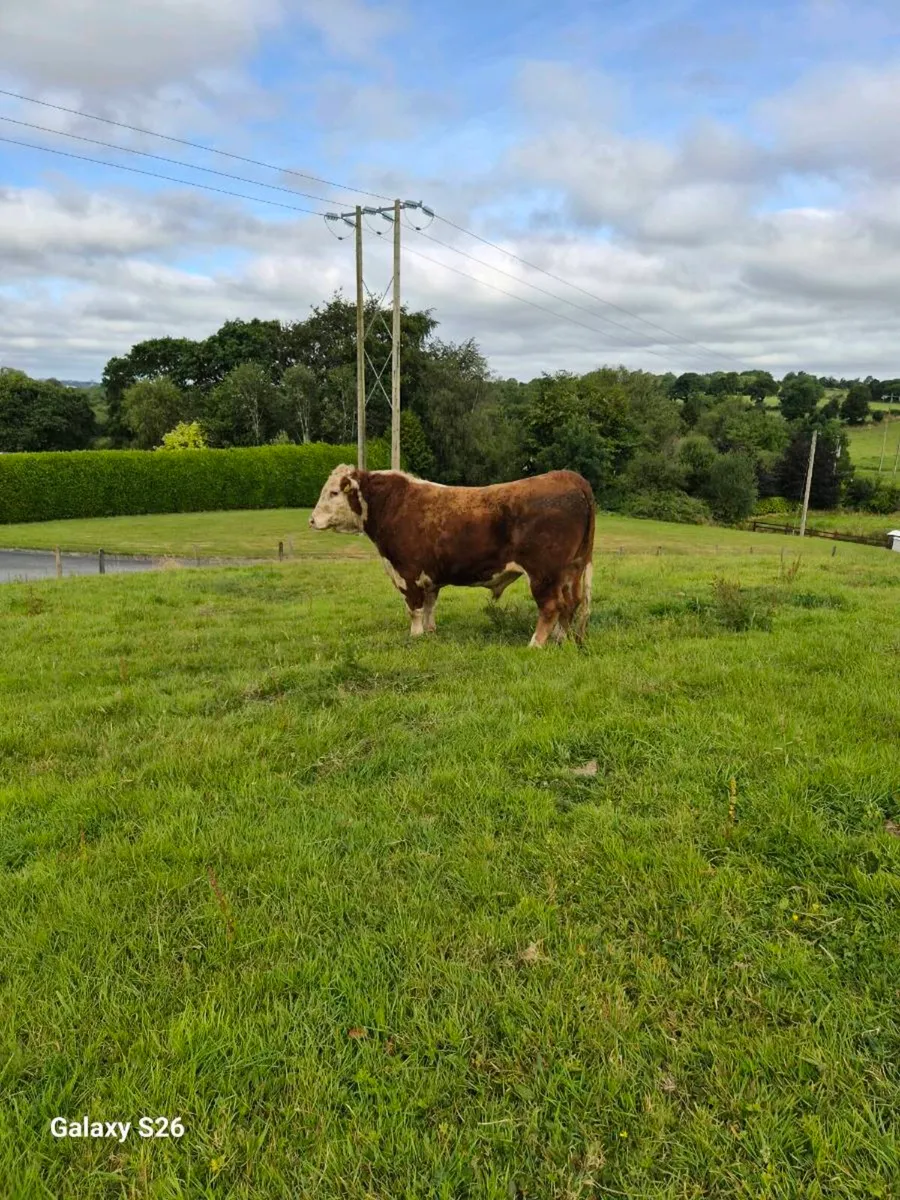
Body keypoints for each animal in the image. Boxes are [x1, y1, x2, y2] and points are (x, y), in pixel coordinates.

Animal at [309, 466, 595, 647]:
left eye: (333, 492)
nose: (311, 520)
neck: (390, 504)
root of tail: (567, 476)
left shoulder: (407, 573)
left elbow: (414, 608)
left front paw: (415, 637)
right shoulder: (429, 576)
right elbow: (430, 606)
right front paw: (430, 632)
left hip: (543, 573)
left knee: (551, 606)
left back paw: (535, 644)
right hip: (570, 571)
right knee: (570, 604)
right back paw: (560, 639)